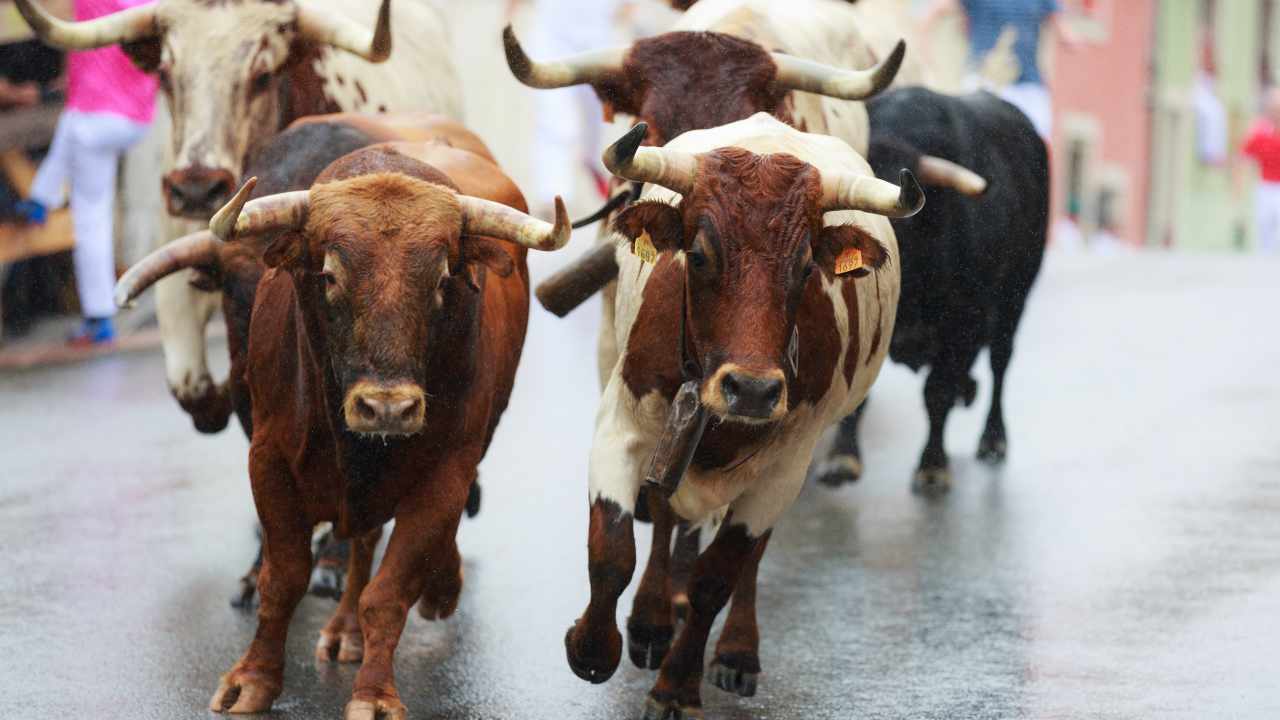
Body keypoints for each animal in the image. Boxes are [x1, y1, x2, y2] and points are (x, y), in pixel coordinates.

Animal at [122, 135, 569, 717]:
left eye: (442, 279)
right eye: (330, 275)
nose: (387, 408)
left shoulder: (446, 474)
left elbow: (390, 592)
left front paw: (375, 693)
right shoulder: (267, 460)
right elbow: (283, 577)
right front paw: (252, 679)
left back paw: (430, 592)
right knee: (361, 541)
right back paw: (346, 630)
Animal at [564, 113, 920, 719]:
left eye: (806, 267)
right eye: (699, 255)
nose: (751, 391)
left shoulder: (785, 466)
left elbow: (717, 578)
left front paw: (677, 687)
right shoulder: (623, 424)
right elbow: (612, 548)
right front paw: (592, 647)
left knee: (748, 557)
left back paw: (735, 653)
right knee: (664, 516)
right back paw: (651, 622)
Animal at [812, 87, 1048, 492]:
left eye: (898, 222)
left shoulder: (962, 326)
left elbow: (937, 393)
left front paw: (933, 464)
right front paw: (842, 459)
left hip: (1015, 299)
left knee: (1000, 362)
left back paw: (993, 439)